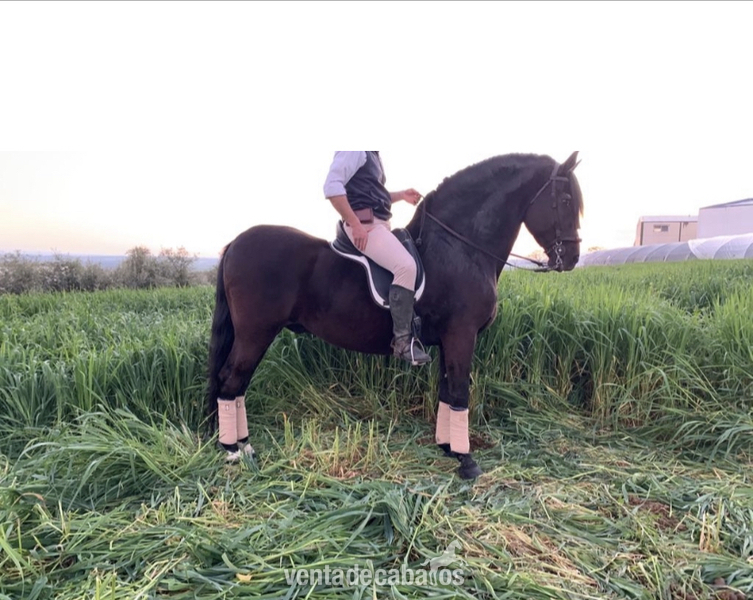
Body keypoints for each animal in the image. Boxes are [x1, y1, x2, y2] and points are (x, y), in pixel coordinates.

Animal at [206, 152, 583, 479]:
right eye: (565, 200)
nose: (572, 259)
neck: (460, 247)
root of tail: (235, 243)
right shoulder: (462, 335)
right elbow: (460, 392)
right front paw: (467, 461)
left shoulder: (448, 340)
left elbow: (446, 391)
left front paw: (447, 447)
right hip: (256, 333)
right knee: (231, 380)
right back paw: (234, 450)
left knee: (237, 383)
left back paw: (243, 446)